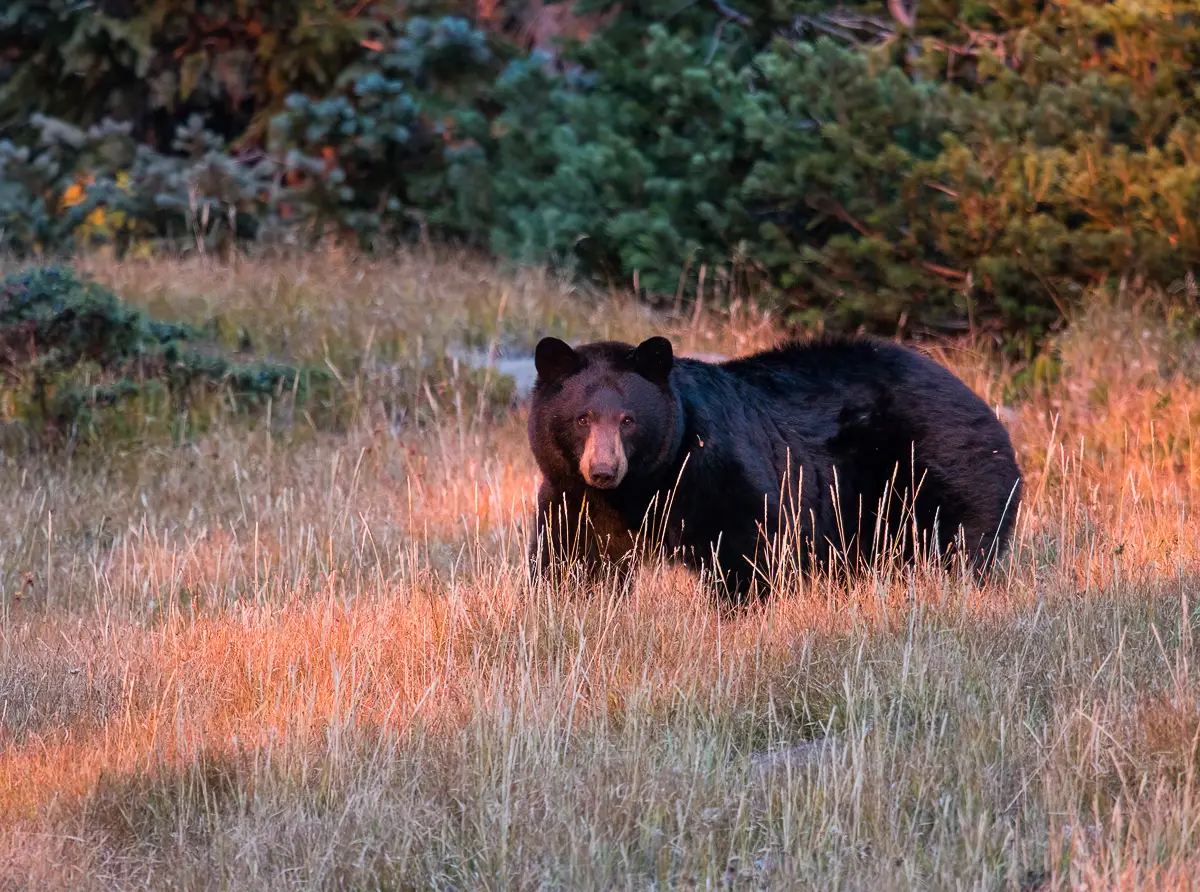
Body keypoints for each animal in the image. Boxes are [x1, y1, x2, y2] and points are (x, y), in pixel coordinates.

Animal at [528, 338, 1022, 602]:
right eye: (582, 418)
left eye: (628, 419)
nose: (603, 468)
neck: (637, 491)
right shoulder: (573, 496)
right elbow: (572, 558)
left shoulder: (714, 470)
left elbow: (747, 543)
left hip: (939, 472)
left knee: (961, 542)